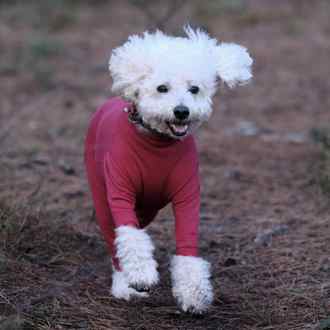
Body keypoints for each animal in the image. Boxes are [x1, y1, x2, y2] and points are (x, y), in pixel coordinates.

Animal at [84, 25, 253, 314]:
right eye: (162, 88)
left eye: (194, 89)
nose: (181, 111)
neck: (157, 141)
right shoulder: (119, 191)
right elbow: (129, 236)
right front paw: (140, 275)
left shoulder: (188, 195)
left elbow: (187, 245)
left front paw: (193, 292)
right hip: (101, 194)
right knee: (114, 238)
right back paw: (123, 285)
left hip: (147, 209)